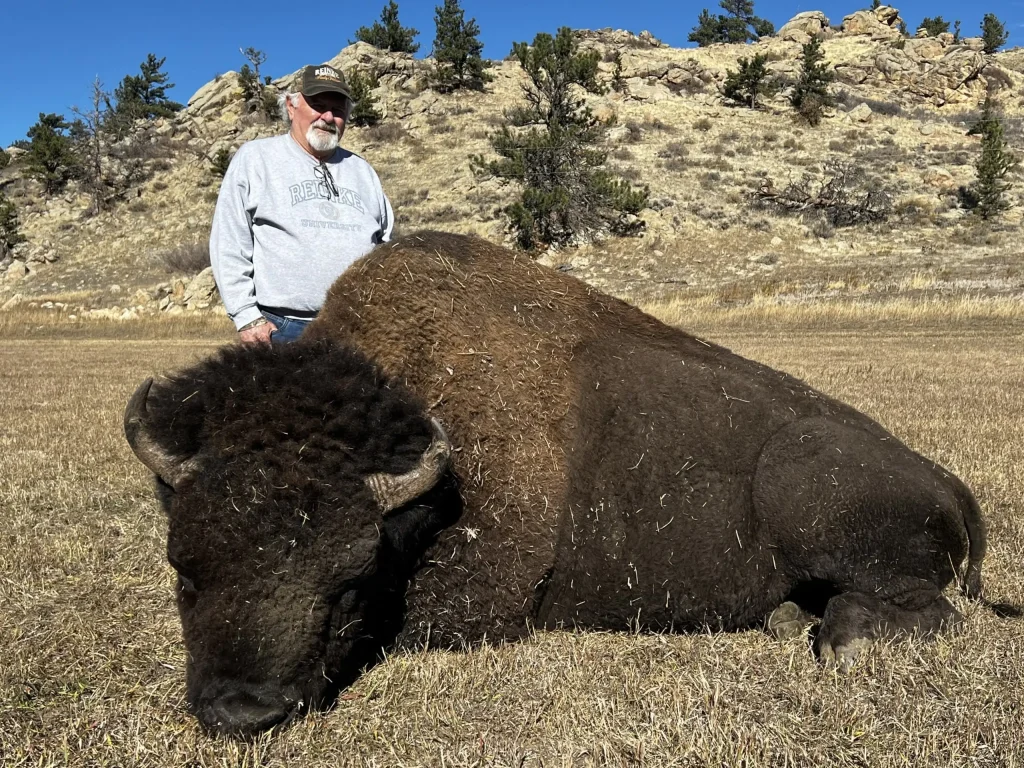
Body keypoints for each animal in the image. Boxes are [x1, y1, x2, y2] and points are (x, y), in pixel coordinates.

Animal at [125, 231, 986, 736]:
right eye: (184, 570)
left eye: (348, 583)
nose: (243, 712)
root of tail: (946, 479)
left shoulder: (477, 603)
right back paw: (785, 620)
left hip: (808, 491)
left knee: (925, 610)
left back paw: (838, 637)